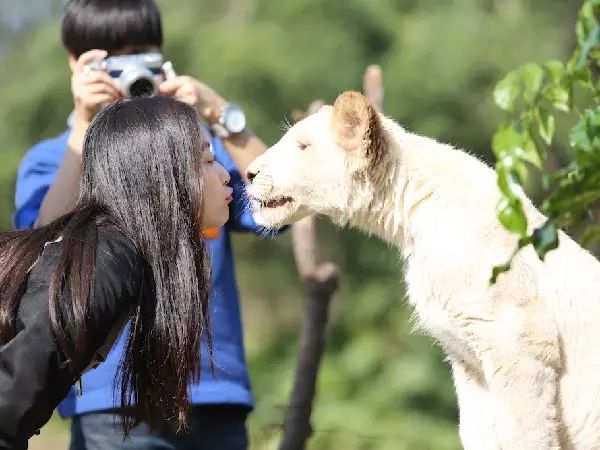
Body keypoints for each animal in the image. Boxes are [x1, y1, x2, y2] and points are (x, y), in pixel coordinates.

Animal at [246, 89, 600, 448]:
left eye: (303, 146)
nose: (249, 173)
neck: (414, 216)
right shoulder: (467, 356)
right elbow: (476, 428)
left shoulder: (518, 340)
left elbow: (525, 428)